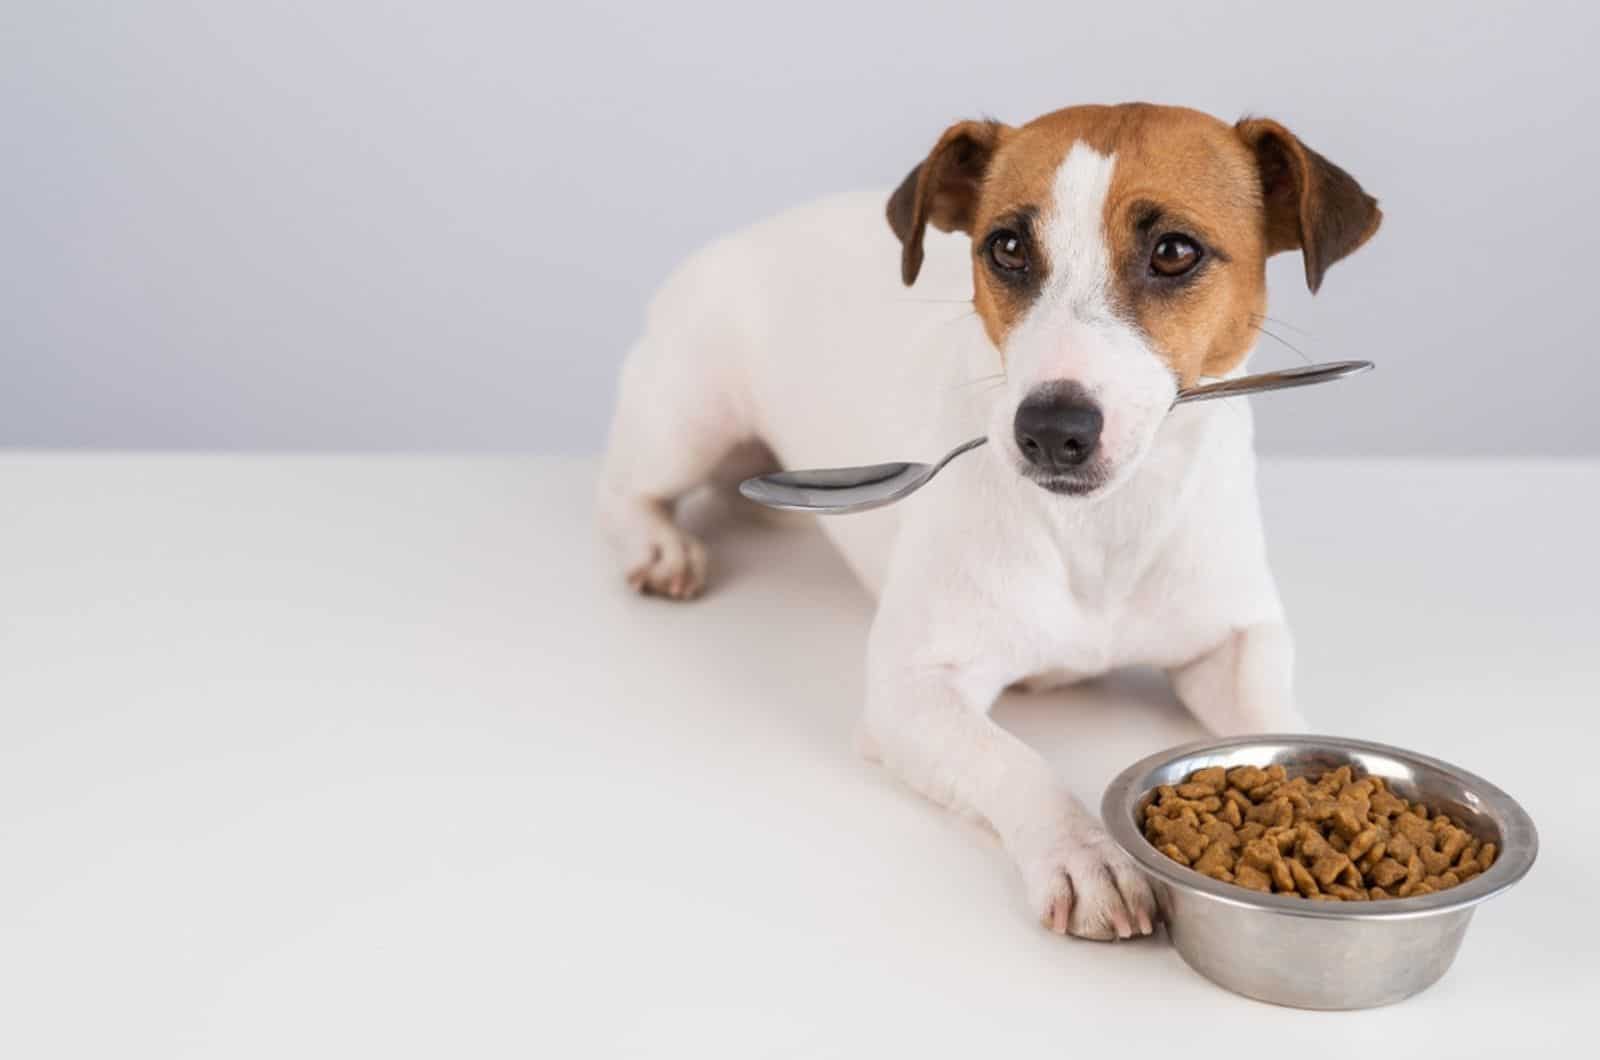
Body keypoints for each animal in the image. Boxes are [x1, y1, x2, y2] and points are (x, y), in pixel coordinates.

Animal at [598, 104, 1376, 941]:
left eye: (1174, 251)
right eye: (1006, 247)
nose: (1051, 429)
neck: (1099, 528)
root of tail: (741, 235)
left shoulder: (1233, 641)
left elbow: (1272, 714)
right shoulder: (911, 691)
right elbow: (1016, 761)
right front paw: (1083, 852)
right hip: (688, 419)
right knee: (623, 486)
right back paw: (657, 544)